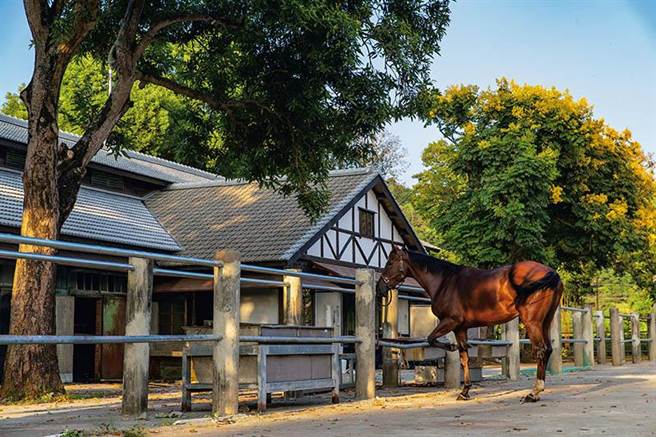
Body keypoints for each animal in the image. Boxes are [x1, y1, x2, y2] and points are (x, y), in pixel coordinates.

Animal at [376, 245, 560, 402]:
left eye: (390, 262)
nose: (380, 288)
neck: (445, 282)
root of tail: (552, 273)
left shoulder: (450, 321)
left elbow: (431, 338)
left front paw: (450, 347)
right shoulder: (460, 328)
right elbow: (464, 357)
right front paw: (465, 391)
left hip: (532, 323)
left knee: (541, 351)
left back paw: (534, 393)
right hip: (545, 322)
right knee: (548, 349)